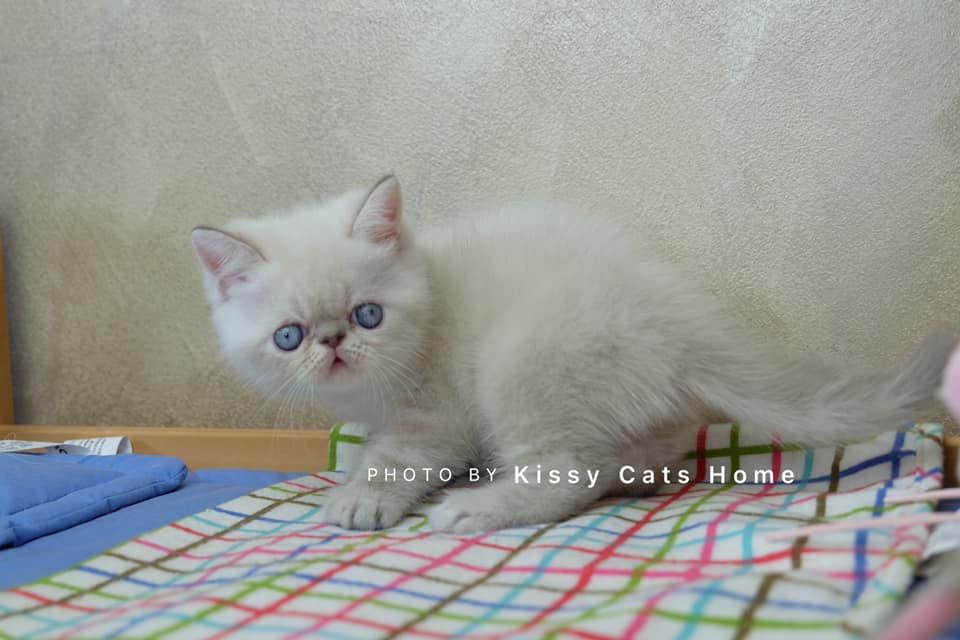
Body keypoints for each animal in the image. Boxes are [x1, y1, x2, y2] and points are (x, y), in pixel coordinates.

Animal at [191, 175, 956, 533]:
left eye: (367, 315)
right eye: (290, 336)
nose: (333, 346)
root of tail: (682, 321)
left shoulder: (437, 415)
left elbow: (398, 457)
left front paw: (360, 499)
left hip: (522, 357)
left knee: (568, 474)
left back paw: (479, 508)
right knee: (637, 454)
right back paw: (641, 477)